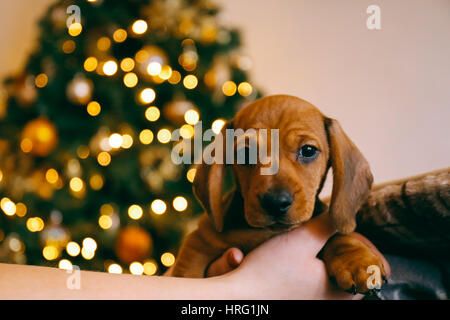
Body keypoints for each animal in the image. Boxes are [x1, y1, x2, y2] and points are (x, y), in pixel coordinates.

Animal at [171, 95, 384, 296]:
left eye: (308, 150)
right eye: (245, 154)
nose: (275, 202)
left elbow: (337, 237)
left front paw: (357, 261)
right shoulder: (200, 240)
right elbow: (187, 271)